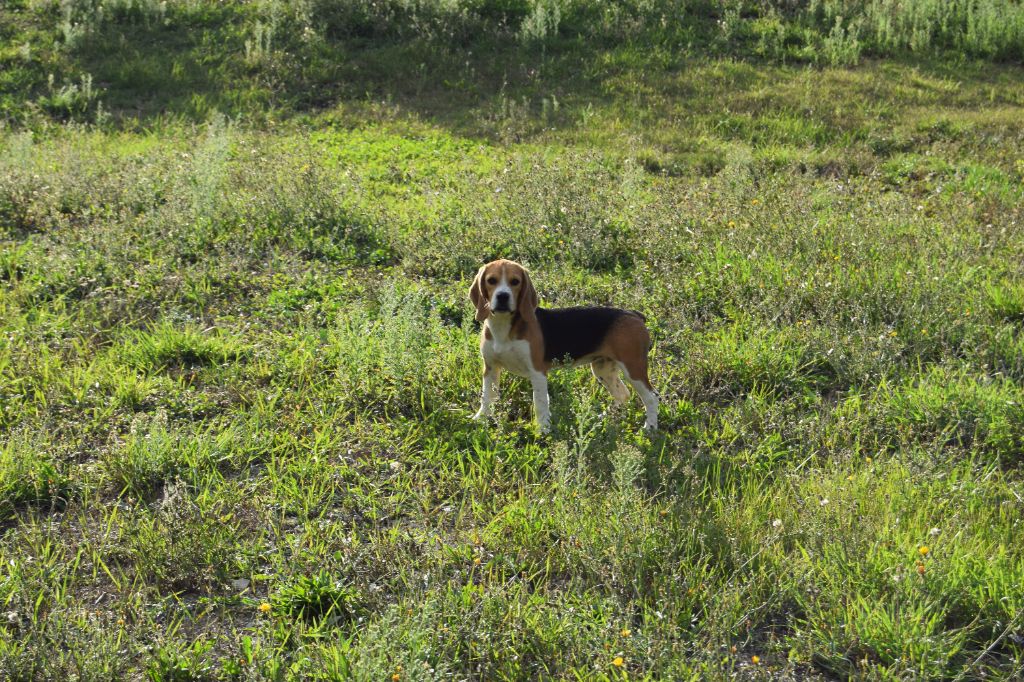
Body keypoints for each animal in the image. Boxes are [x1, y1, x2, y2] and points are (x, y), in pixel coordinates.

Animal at [468, 258, 659, 428]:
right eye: (491, 280)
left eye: (515, 281)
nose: (502, 296)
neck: (503, 326)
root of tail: (633, 314)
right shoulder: (490, 368)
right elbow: (487, 396)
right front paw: (481, 418)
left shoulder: (537, 372)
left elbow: (540, 404)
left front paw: (542, 430)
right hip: (603, 369)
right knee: (623, 394)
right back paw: (606, 417)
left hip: (633, 368)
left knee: (652, 397)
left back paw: (649, 427)